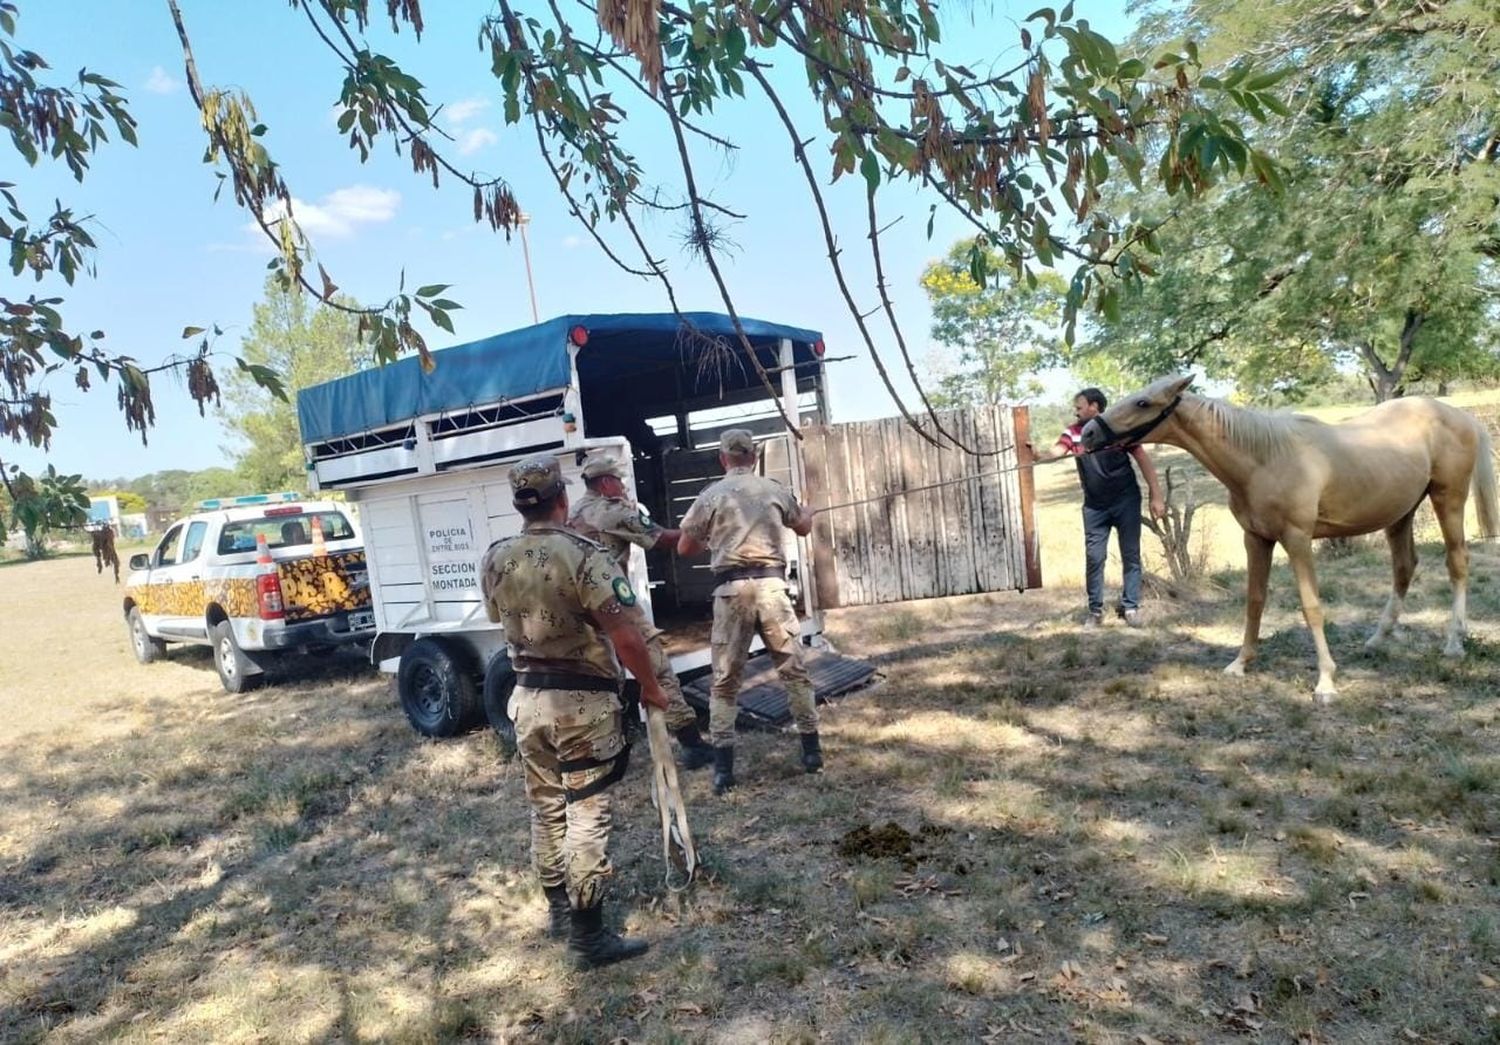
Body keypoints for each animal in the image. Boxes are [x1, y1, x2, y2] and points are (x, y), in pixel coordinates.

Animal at [1086, 374, 1494, 701]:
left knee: (1457, 562)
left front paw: (1326, 682)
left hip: (1448, 499)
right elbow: (1254, 600)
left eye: (1143, 402)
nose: (1088, 432)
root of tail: (1461, 416)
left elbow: (1311, 606)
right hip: (1400, 513)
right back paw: (1378, 639)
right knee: (1405, 567)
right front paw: (1240, 663)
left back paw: (1454, 643)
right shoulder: (1256, 538)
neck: (1263, 460)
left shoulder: (1297, 540)